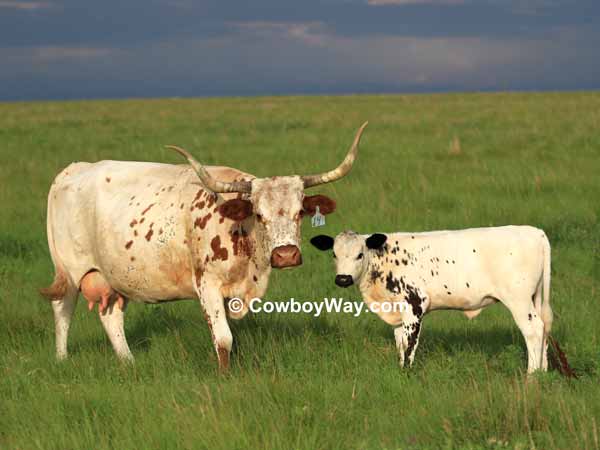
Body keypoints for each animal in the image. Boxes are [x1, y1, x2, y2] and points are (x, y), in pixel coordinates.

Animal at [39, 122, 368, 370]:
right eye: (259, 214)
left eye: (299, 212)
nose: (285, 255)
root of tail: (72, 170)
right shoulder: (207, 285)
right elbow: (223, 339)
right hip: (69, 271)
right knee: (63, 308)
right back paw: (61, 359)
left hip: (114, 274)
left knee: (111, 316)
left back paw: (129, 363)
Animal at [314, 227, 552, 374]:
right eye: (334, 254)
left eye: (360, 254)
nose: (342, 278)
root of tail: (535, 232)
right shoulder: (397, 312)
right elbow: (400, 343)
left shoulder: (414, 305)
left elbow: (409, 346)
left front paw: (406, 375)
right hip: (535, 297)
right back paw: (543, 372)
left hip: (518, 299)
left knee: (534, 329)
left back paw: (531, 376)